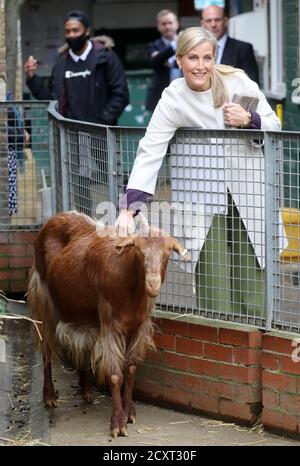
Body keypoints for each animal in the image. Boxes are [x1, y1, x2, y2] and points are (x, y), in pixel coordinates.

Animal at [27, 211, 189, 436]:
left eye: (167, 252)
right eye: (139, 251)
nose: (153, 283)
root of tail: (57, 217)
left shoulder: (138, 327)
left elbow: (130, 370)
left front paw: (130, 413)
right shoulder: (111, 327)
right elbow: (115, 376)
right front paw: (117, 424)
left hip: (78, 309)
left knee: (79, 344)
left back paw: (86, 390)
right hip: (44, 299)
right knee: (46, 348)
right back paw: (49, 396)